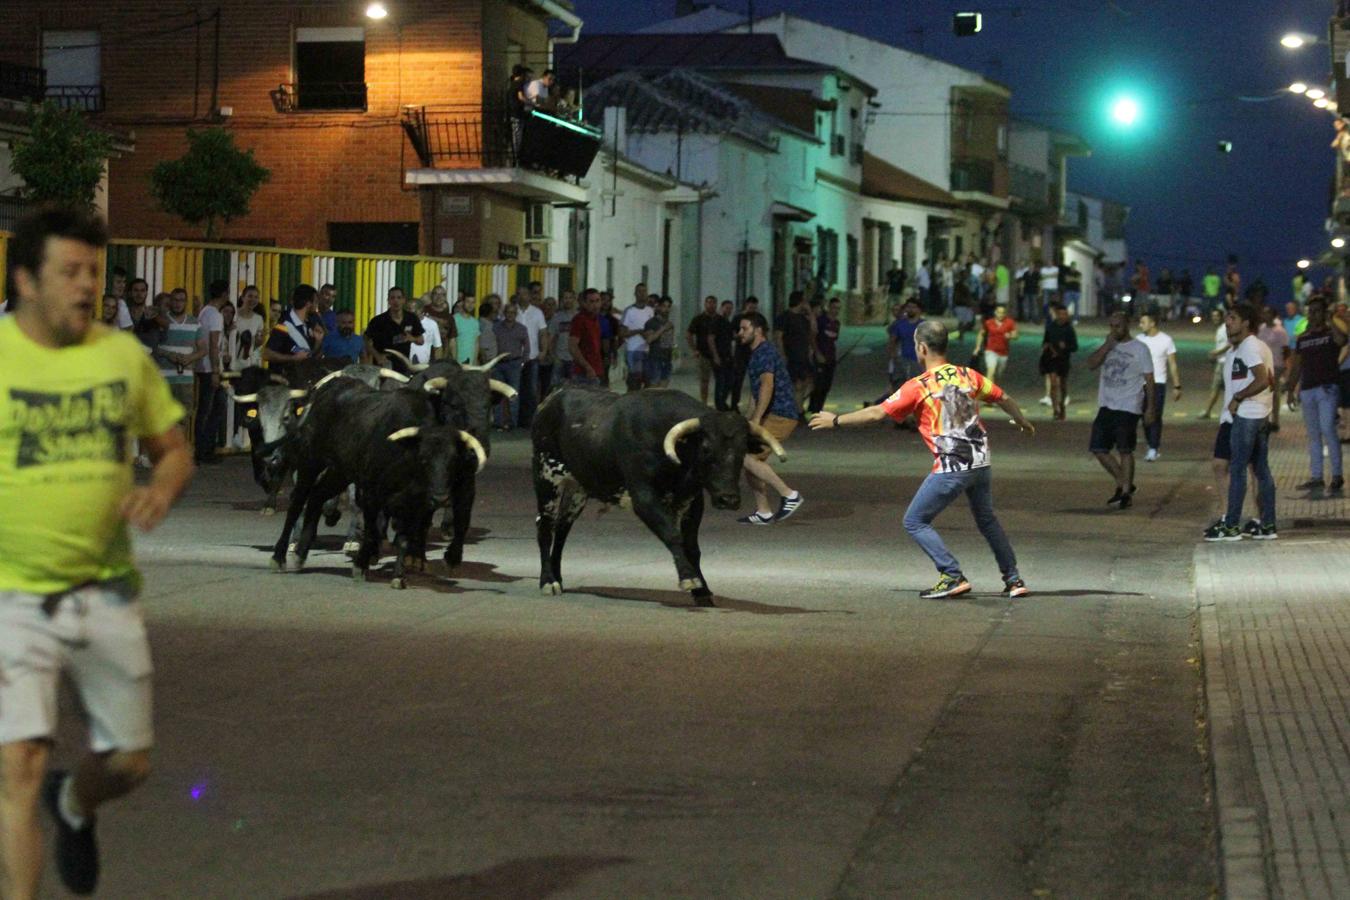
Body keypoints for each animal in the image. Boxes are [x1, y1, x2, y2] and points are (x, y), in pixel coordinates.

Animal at [523, 388, 783, 604]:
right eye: (707, 448)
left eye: (741, 451)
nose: (728, 499)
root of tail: (550, 400)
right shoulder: (645, 498)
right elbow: (673, 535)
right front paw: (689, 579)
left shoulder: (692, 501)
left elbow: (692, 547)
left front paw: (702, 589)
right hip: (546, 478)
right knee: (545, 527)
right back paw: (548, 581)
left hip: (577, 488)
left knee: (562, 528)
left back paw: (557, 577)